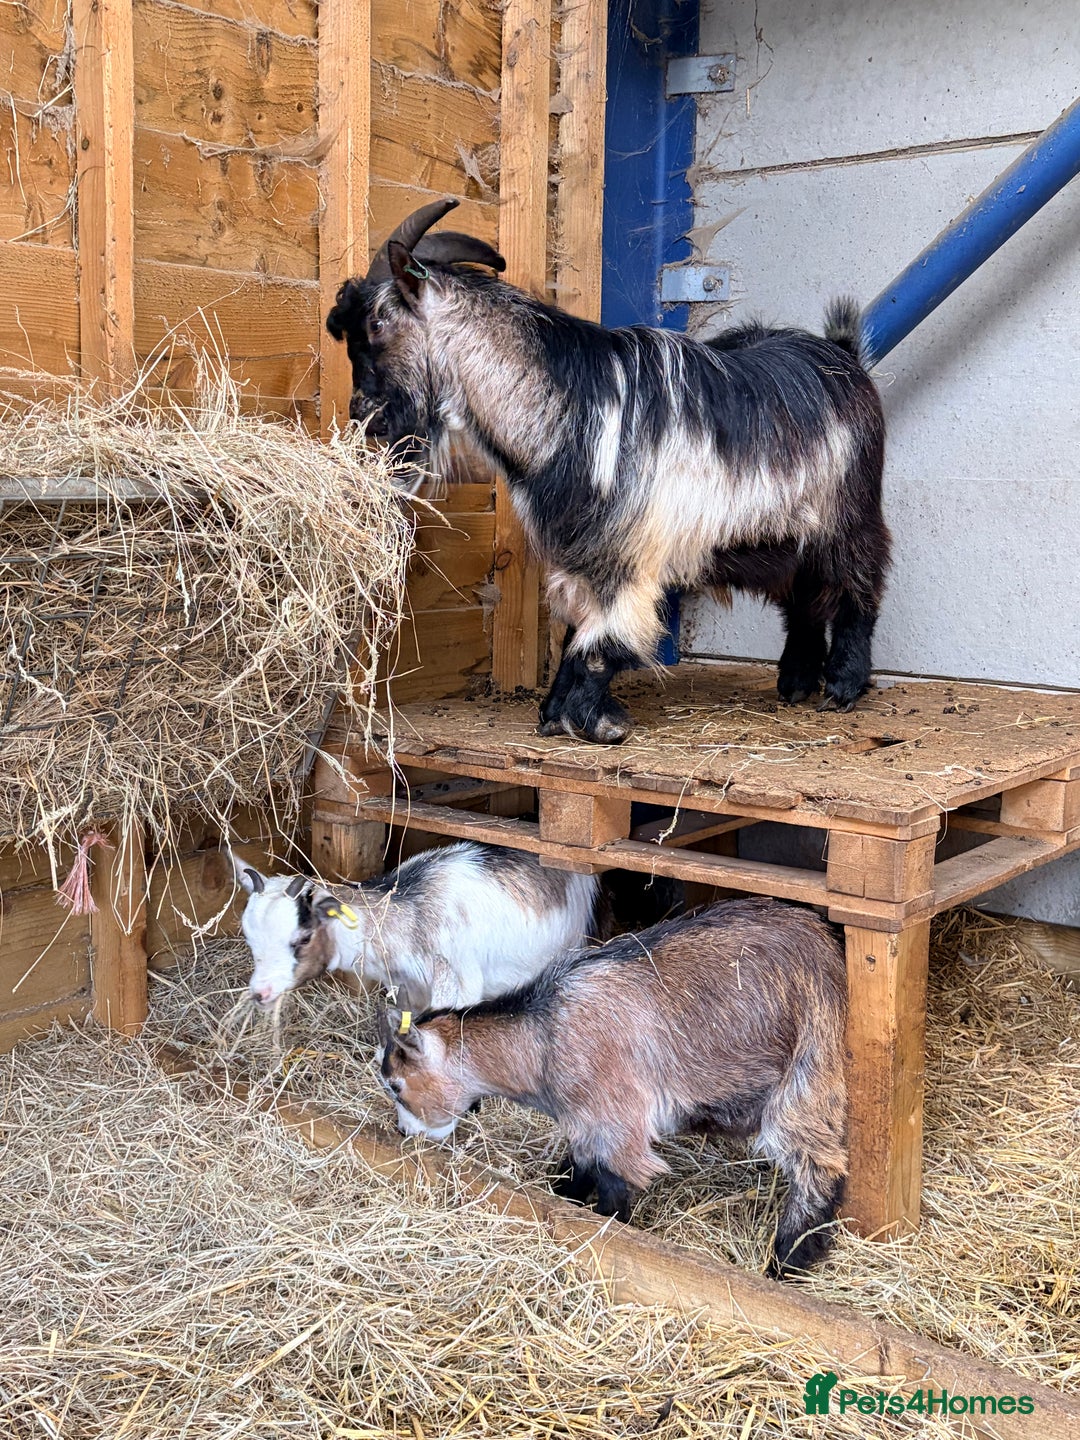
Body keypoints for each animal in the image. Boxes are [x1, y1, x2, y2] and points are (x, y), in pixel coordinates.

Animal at [326, 200, 889, 743]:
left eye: (377, 323)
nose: (362, 411)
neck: (567, 404)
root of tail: (842, 355)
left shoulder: (628, 553)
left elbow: (602, 642)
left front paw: (595, 721)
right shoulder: (579, 554)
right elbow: (576, 633)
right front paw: (555, 713)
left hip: (849, 514)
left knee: (859, 582)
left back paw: (842, 684)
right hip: (781, 536)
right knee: (804, 596)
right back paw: (795, 680)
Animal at [378, 896, 848, 1277]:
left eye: (396, 1086)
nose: (404, 1133)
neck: (542, 1037)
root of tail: (823, 939)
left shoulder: (617, 1116)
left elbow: (614, 1185)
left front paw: (610, 1232)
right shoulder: (584, 1118)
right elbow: (579, 1167)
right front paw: (564, 1194)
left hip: (810, 1059)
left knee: (817, 1164)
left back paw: (787, 1260)